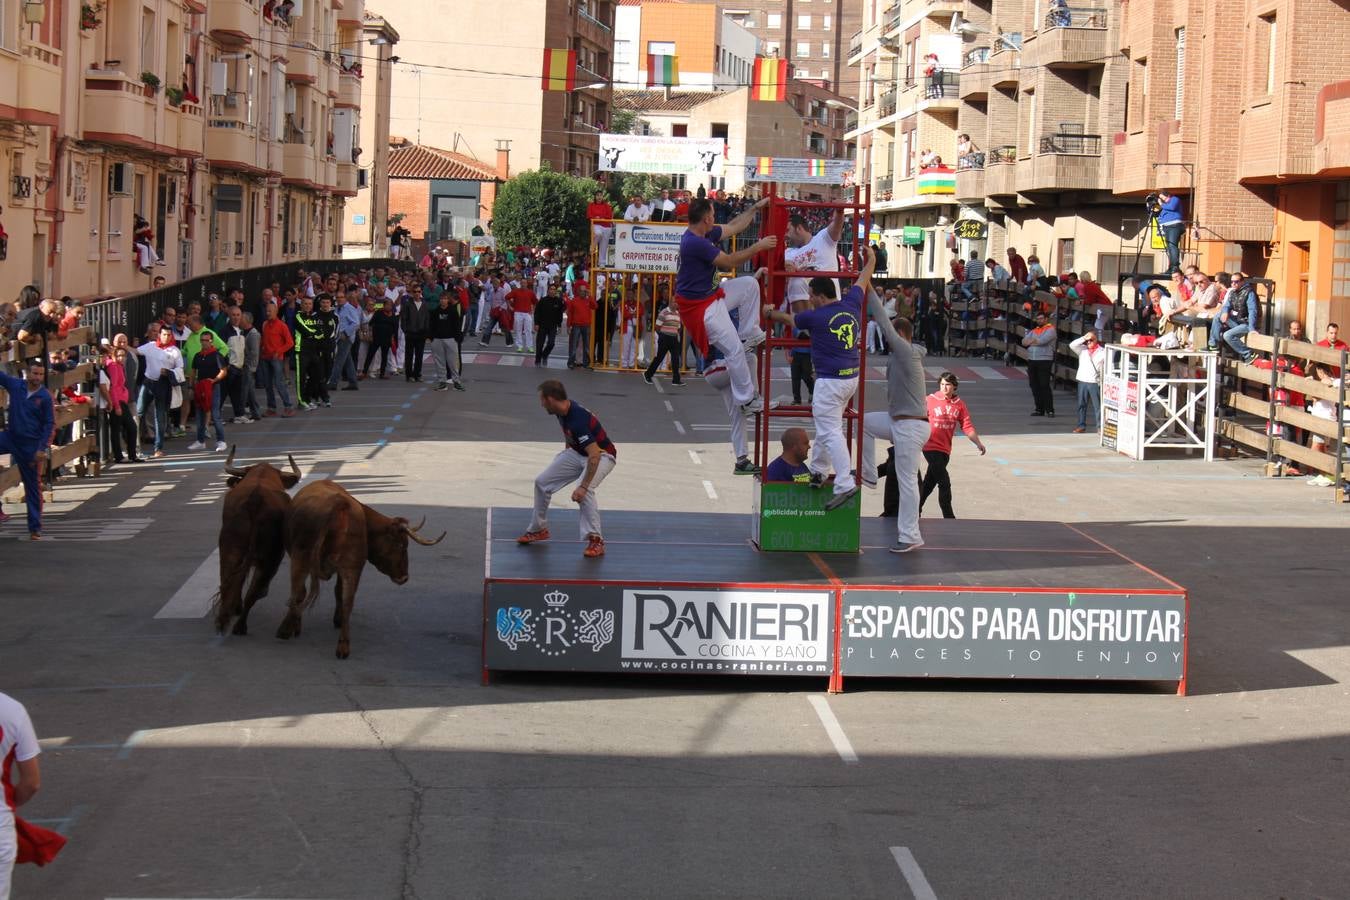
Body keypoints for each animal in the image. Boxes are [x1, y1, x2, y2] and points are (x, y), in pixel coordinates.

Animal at [210, 447, 301, 634]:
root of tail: (255, 500)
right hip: (272, 557)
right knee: (256, 590)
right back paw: (239, 625)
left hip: (229, 548)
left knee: (228, 578)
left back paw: (226, 617)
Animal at [276, 483, 445, 658]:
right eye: (401, 545)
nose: (404, 577)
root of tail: (340, 505)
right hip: (342, 565)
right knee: (340, 600)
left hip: (304, 559)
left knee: (301, 593)